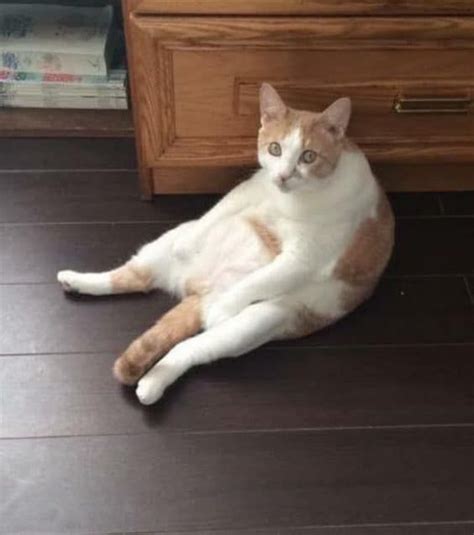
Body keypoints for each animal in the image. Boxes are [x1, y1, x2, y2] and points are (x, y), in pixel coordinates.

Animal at [57, 82, 394, 406]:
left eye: (308, 156)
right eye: (275, 149)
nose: (283, 176)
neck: (291, 200)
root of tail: (194, 287)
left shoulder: (303, 258)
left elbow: (260, 279)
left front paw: (223, 307)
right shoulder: (251, 187)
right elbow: (220, 208)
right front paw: (188, 244)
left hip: (256, 322)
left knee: (187, 349)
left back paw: (152, 383)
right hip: (162, 244)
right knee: (131, 276)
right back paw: (75, 280)